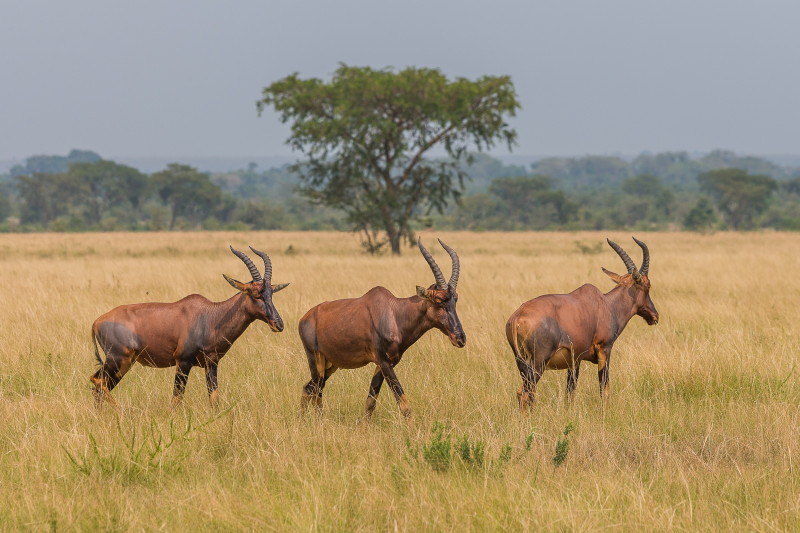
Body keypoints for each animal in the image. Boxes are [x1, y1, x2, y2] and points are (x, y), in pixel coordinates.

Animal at [90, 245, 288, 408]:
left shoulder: (211, 363)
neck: (210, 316)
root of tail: (96, 322)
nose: (278, 324)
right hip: (118, 359)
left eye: (271, 293)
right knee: (97, 382)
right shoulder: (183, 362)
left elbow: (214, 398)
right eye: (255, 293)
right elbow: (177, 398)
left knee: (99, 385)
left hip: (123, 363)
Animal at [296, 239, 466, 418]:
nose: (460, 338)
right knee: (315, 389)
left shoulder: (385, 363)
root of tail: (305, 318)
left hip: (331, 365)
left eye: (455, 299)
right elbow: (403, 404)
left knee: (310, 388)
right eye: (439, 301)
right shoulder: (384, 362)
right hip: (316, 360)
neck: (394, 313)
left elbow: (370, 402)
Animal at [506, 238, 656, 412]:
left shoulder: (574, 360)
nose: (654, 316)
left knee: (524, 393)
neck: (606, 305)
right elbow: (604, 387)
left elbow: (570, 392)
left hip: (522, 362)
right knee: (525, 393)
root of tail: (517, 317)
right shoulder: (604, 349)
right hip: (538, 363)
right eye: (647, 285)